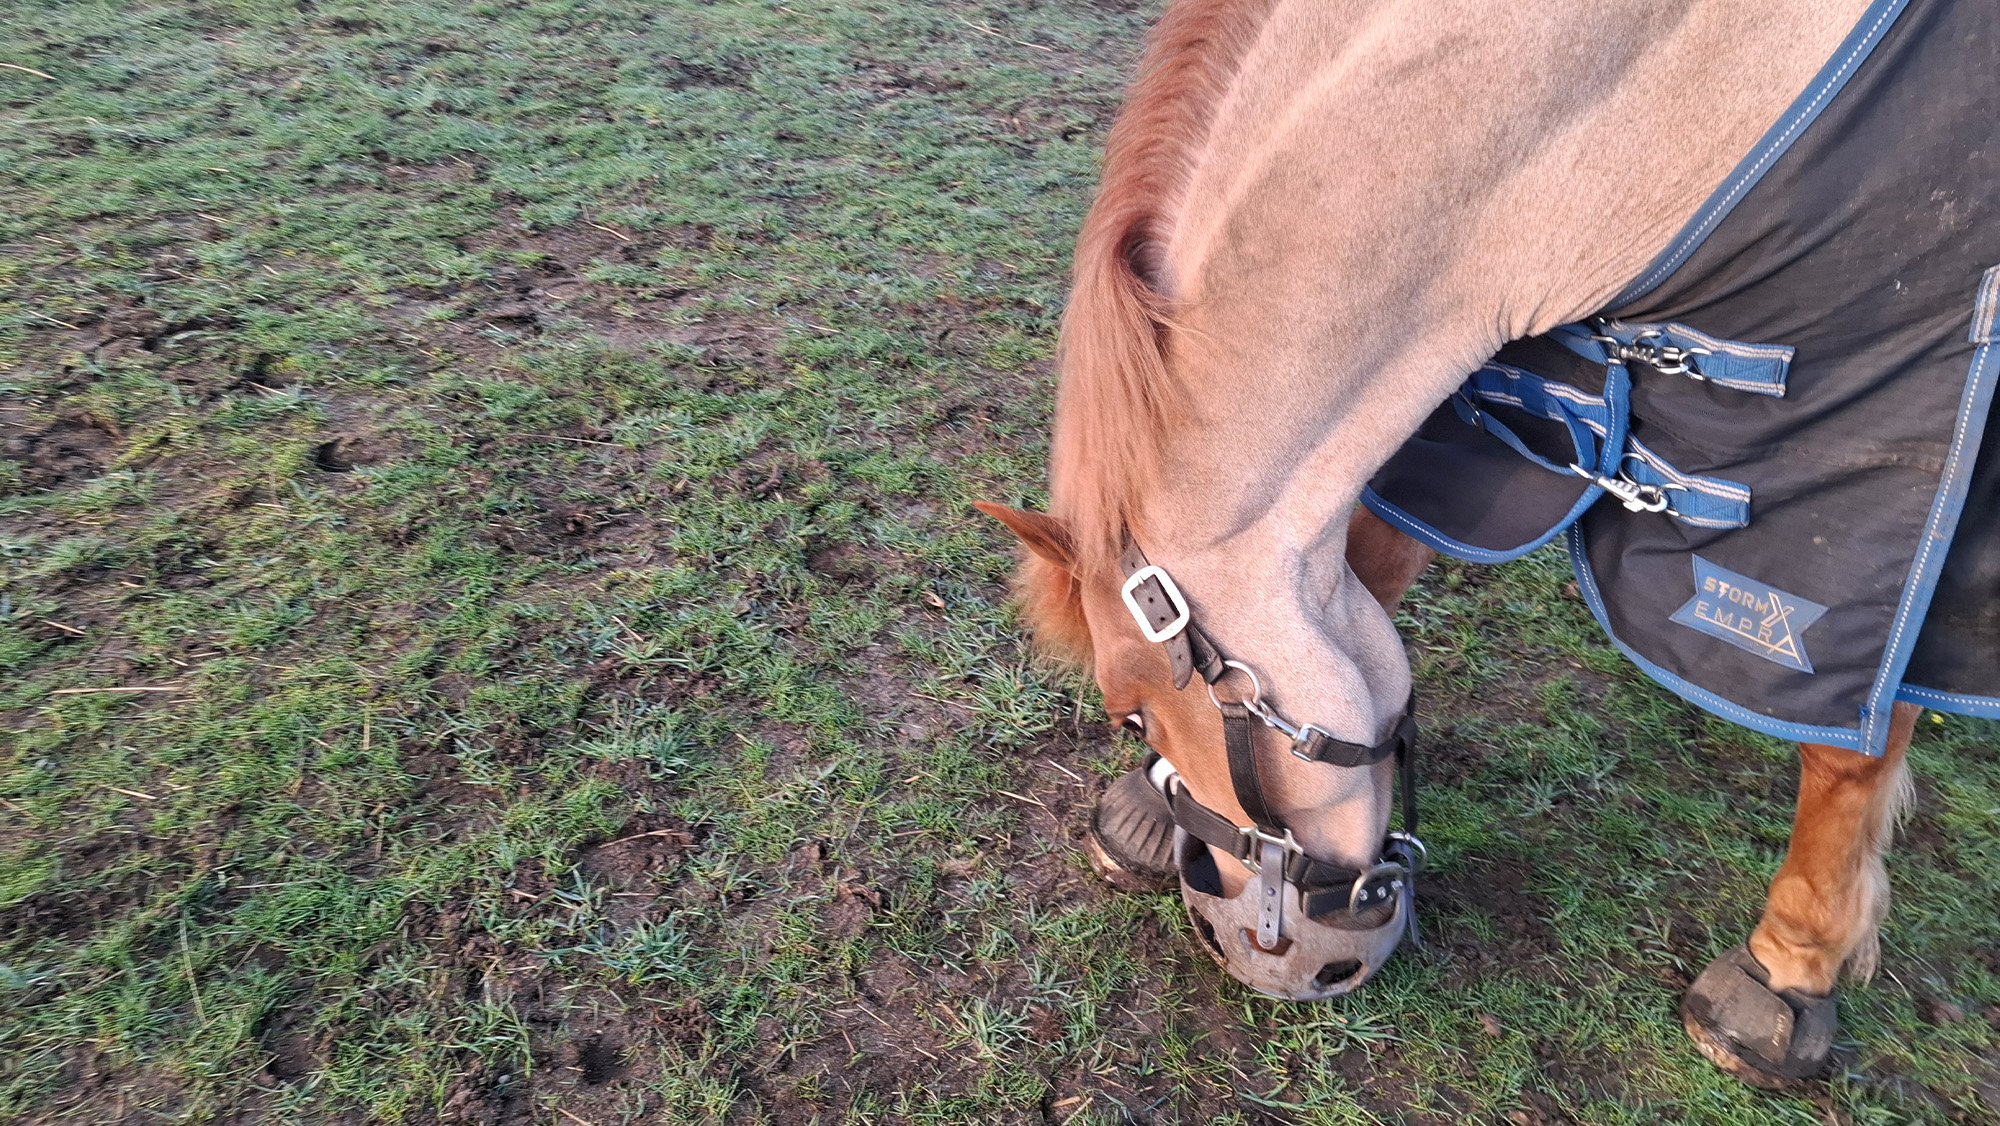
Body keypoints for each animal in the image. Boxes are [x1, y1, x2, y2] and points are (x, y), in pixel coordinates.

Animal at [977, 0, 1997, 1088]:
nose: (1209, 880)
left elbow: (1850, 727)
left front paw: (1792, 966)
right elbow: (1377, 552)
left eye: (1130, 711)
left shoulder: (1881, 441)